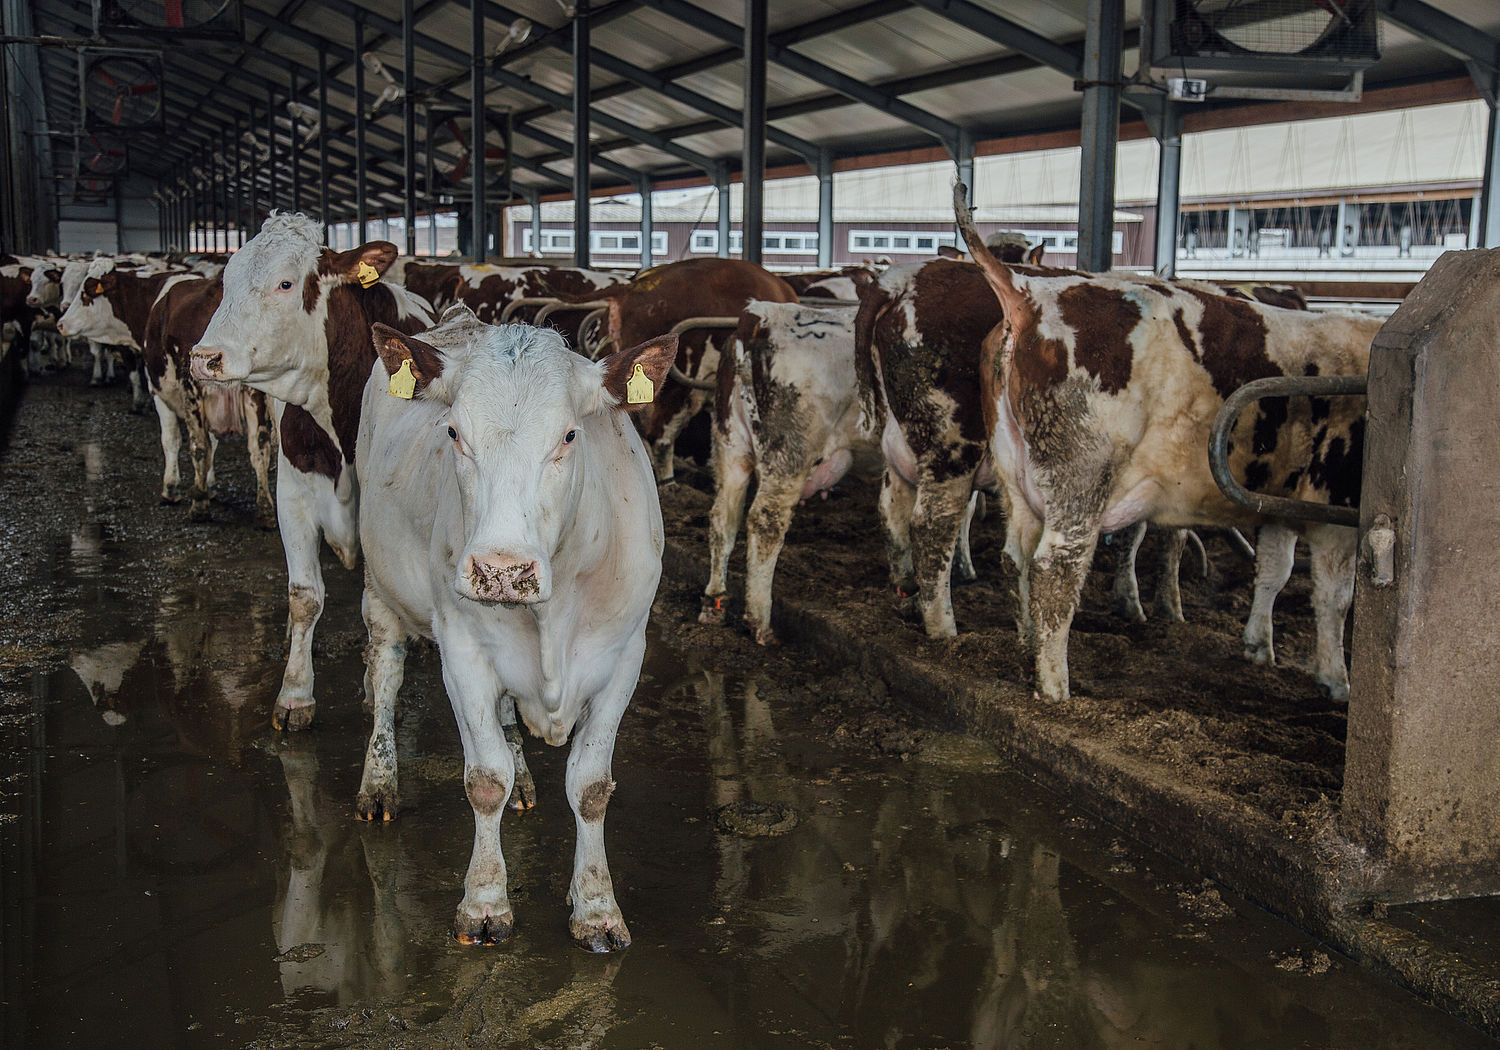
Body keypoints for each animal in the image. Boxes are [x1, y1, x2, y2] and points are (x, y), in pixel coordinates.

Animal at [354, 303, 678, 954]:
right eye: (454, 433)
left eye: (570, 435)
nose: (502, 571)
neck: (551, 616)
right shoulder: (462, 652)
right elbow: (484, 779)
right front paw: (485, 901)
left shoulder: (624, 657)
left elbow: (591, 787)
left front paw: (596, 907)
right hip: (380, 586)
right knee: (386, 676)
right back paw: (379, 782)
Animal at [954, 184, 1374, 702]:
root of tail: (1029, 292)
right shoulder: (1339, 507)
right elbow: (1336, 598)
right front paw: (1337, 680)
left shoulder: (1277, 503)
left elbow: (1273, 573)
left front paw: (1258, 646)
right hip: (1081, 483)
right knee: (1054, 568)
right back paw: (1054, 687)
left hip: (1017, 480)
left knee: (1016, 559)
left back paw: (1028, 652)